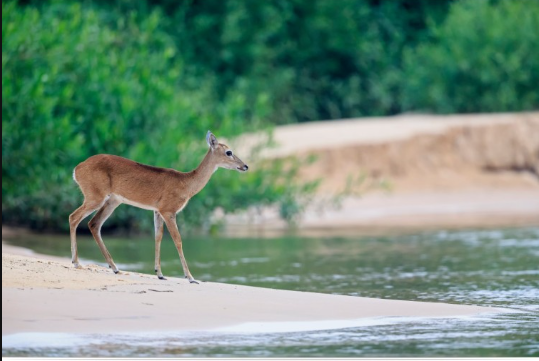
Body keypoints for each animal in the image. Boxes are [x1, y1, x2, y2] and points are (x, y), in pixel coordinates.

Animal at [68, 131, 250, 282]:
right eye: (229, 152)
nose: (245, 166)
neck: (186, 184)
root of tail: (77, 169)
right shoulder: (168, 210)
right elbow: (178, 240)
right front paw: (190, 277)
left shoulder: (156, 211)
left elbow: (158, 237)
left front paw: (160, 274)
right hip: (95, 197)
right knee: (74, 217)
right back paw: (76, 262)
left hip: (113, 200)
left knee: (94, 223)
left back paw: (115, 268)